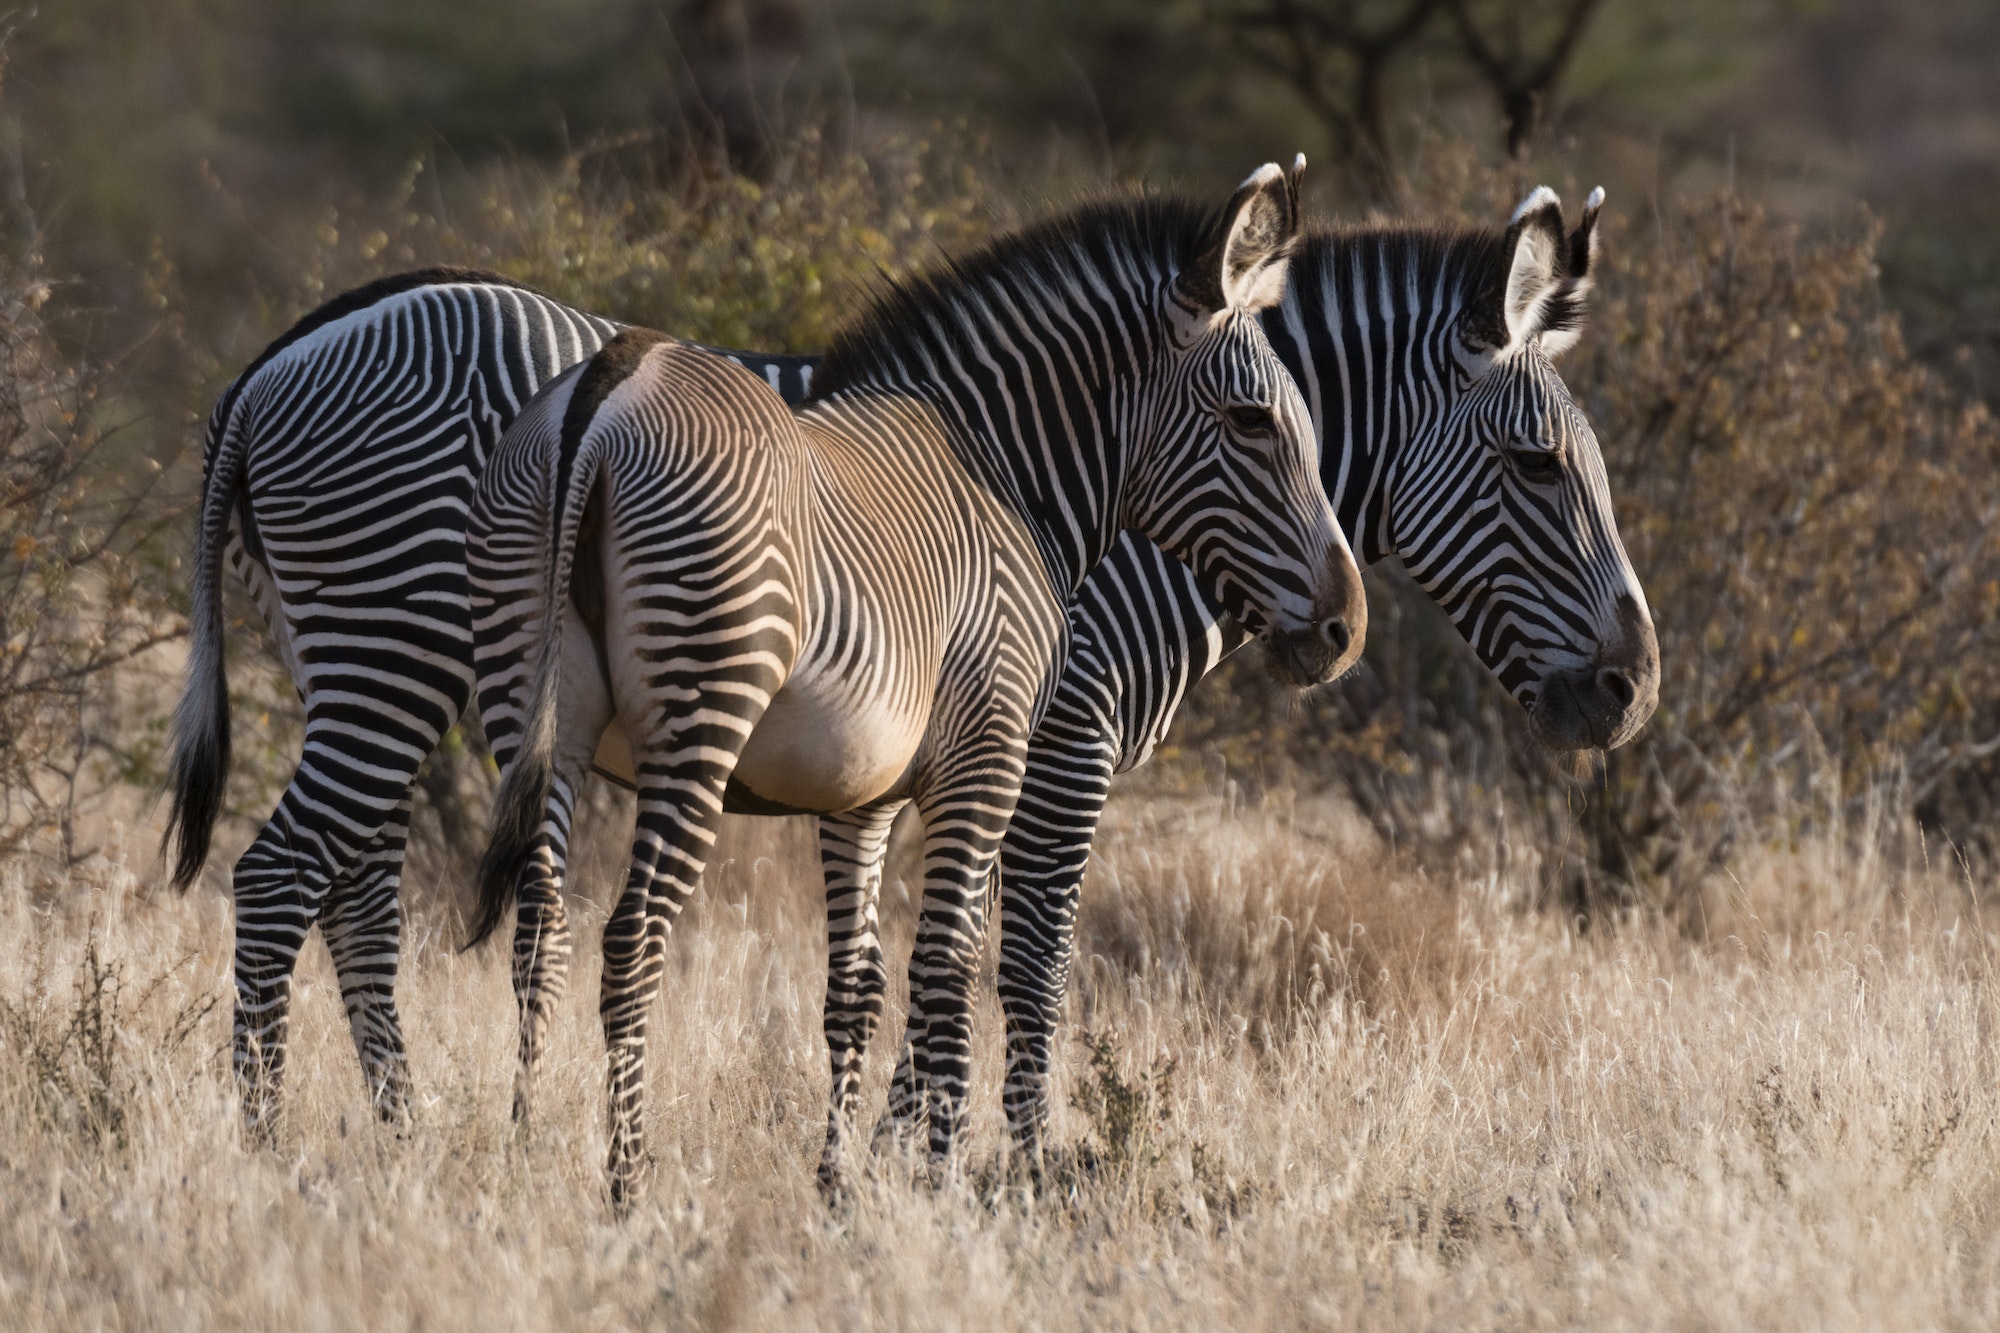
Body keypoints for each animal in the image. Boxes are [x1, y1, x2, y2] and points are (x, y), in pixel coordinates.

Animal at [163, 266, 814, 1130]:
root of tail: (258, 375)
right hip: (397, 634)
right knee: (287, 876)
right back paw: (268, 1135)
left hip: (329, 654)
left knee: (358, 896)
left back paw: (400, 1134)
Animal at [465, 161, 1369, 1201]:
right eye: (1253, 421)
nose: (1346, 629)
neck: (1007, 477)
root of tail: (608, 382)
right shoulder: (989, 760)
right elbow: (948, 969)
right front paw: (944, 1180)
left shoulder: (861, 793)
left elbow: (855, 989)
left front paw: (839, 1186)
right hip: (700, 712)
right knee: (633, 938)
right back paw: (628, 1185)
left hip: (533, 707)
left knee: (540, 934)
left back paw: (523, 1154)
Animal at [877, 185, 1661, 1162]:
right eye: (1538, 463)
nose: (1637, 689)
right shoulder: (1062, 743)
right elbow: (1025, 955)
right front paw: (1007, 1167)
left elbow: (959, 947)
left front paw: (890, 1157)